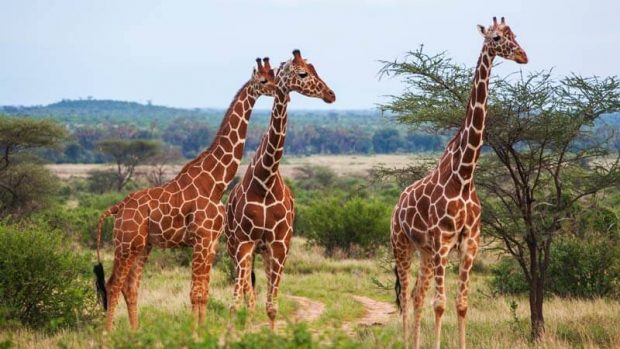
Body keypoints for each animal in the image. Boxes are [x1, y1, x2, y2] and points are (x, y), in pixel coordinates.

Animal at [92, 57, 276, 328]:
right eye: (263, 80)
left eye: (273, 75)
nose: (278, 90)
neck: (216, 182)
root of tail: (118, 207)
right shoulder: (201, 238)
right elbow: (195, 293)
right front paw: (195, 331)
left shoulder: (211, 241)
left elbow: (204, 292)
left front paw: (203, 329)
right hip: (125, 243)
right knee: (113, 284)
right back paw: (108, 333)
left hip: (142, 246)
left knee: (130, 286)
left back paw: (135, 332)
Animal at [225, 49, 336, 328]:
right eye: (303, 73)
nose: (330, 94)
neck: (266, 180)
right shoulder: (244, 243)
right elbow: (237, 303)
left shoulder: (279, 245)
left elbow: (272, 307)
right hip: (236, 247)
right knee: (247, 294)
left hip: (267, 252)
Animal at [390, 17, 524, 348]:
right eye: (497, 37)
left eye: (515, 35)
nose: (523, 56)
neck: (463, 175)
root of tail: (397, 204)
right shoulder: (442, 240)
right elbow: (440, 304)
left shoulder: (469, 242)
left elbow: (461, 304)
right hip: (402, 244)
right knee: (406, 296)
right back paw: (405, 341)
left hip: (425, 252)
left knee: (416, 295)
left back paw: (415, 342)